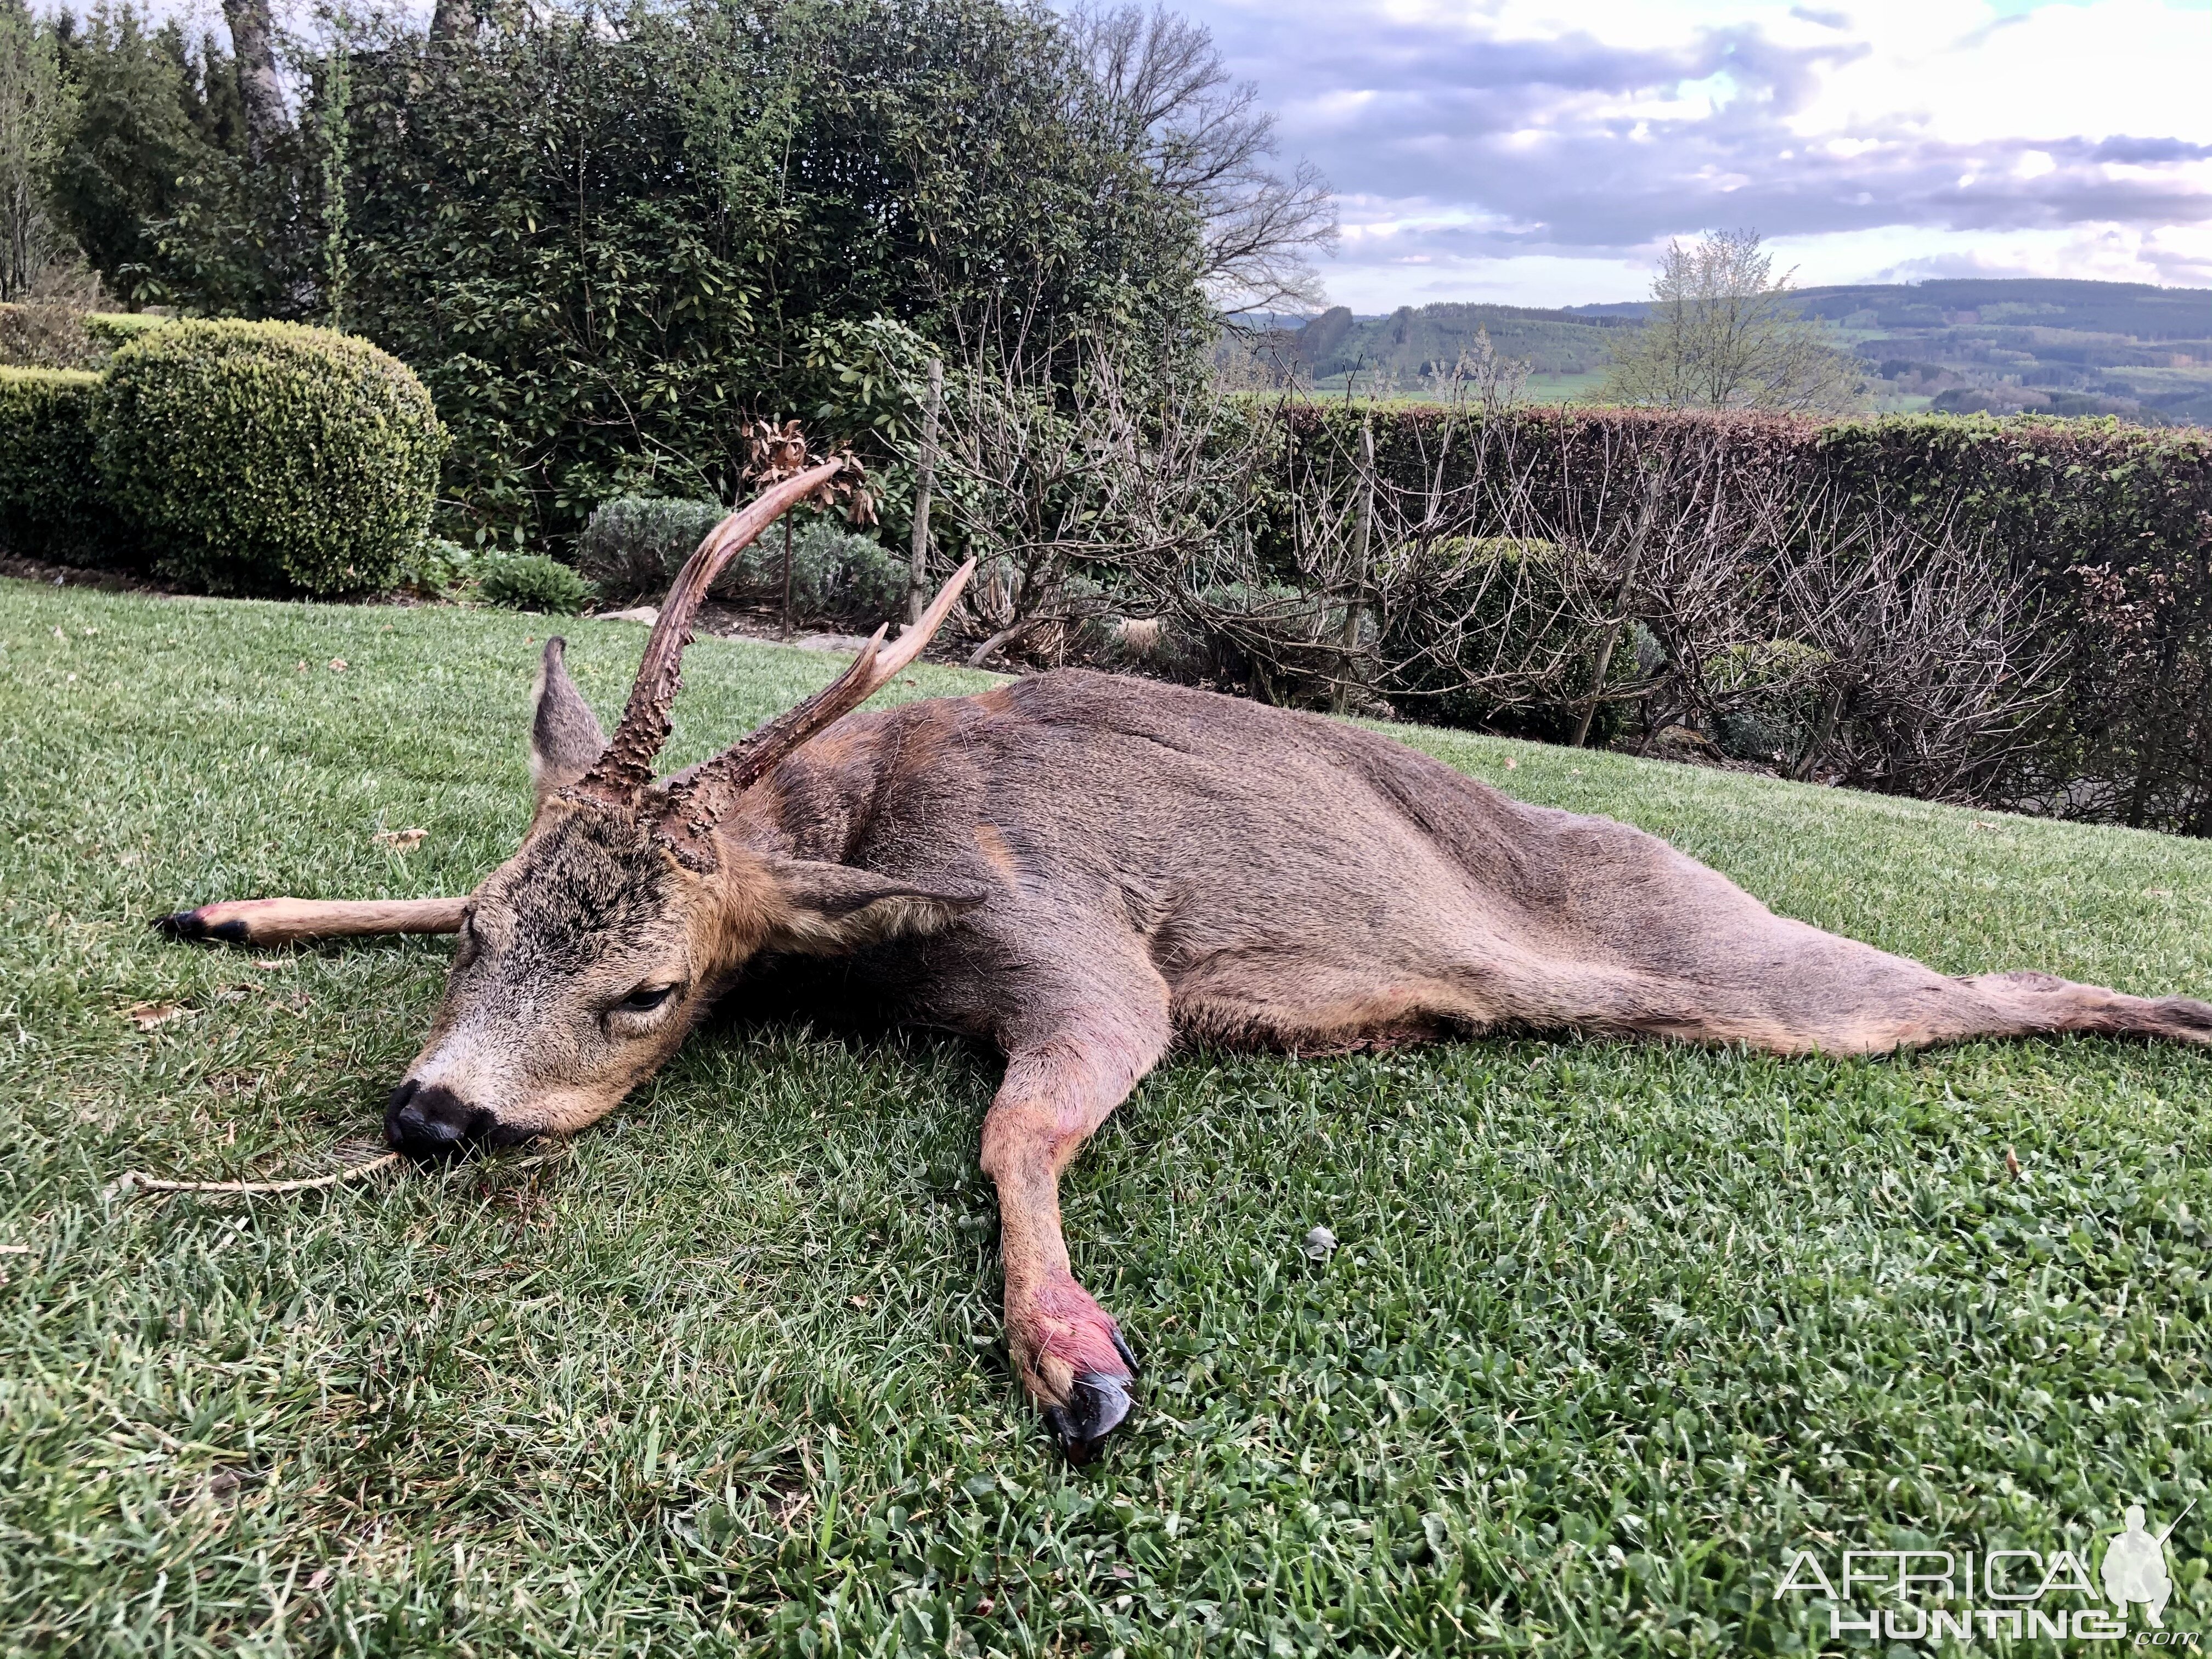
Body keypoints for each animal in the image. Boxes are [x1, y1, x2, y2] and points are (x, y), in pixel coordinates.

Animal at [163, 462, 2212, 1460]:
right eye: (492, 936)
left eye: (647, 992)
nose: (433, 1114)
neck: (867, 834)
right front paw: (236, 908)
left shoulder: (1078, 943)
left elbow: (1016, 1126)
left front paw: (1076, 1362)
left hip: (1747, 970)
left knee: (1971, 993)